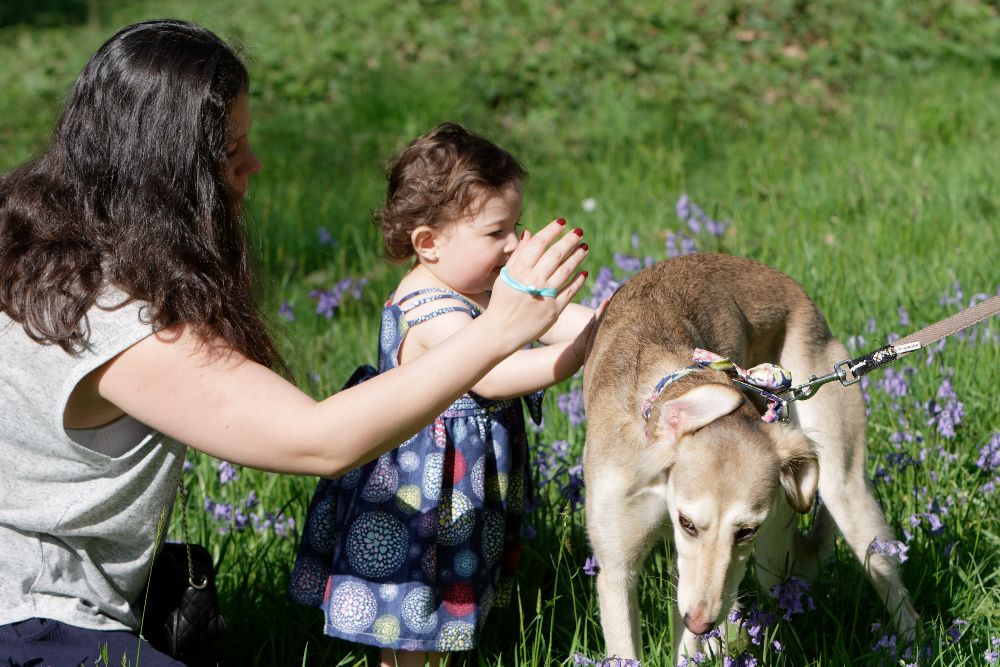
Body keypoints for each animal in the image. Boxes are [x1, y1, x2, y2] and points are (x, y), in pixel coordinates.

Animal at [582, 253, 917, 664]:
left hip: (831, 502)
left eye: (745, 531)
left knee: (896, 594)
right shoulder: (619, 570)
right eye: (686, 524)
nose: (701, 622)